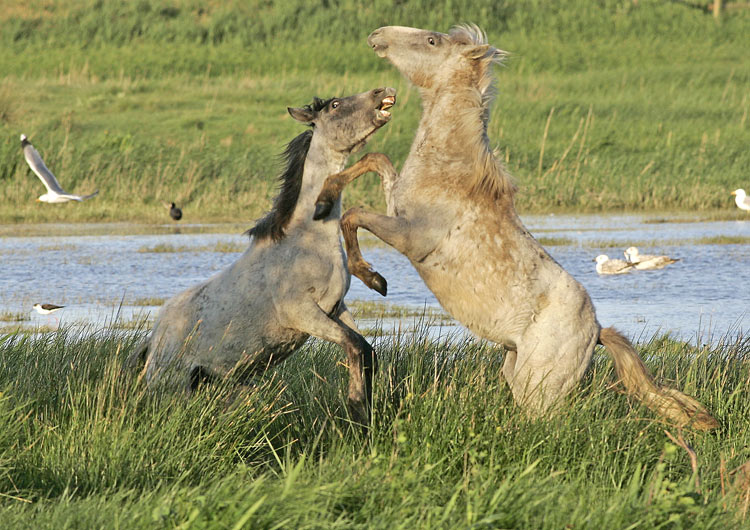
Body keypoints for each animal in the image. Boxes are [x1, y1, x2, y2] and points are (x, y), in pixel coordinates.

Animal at [141, 88, 400, 422]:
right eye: (335, 105)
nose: (383, 92)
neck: (308, 239)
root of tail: (153, 342)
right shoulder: (303, 313)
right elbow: (355, 348)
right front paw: (357, 410)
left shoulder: (336, 309)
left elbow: (367, 351)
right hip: (172, 387)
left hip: (212, 380)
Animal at [314, 25, 720, 428]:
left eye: (432, 41)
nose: (378, 35)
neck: (450, 171)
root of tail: (597, 331)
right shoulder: (394, 203)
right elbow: (374, 159)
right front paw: (324, 197)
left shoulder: (410, 237)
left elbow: (354, 215)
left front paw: (373, 278)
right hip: (516, 371)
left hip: (538, 390)